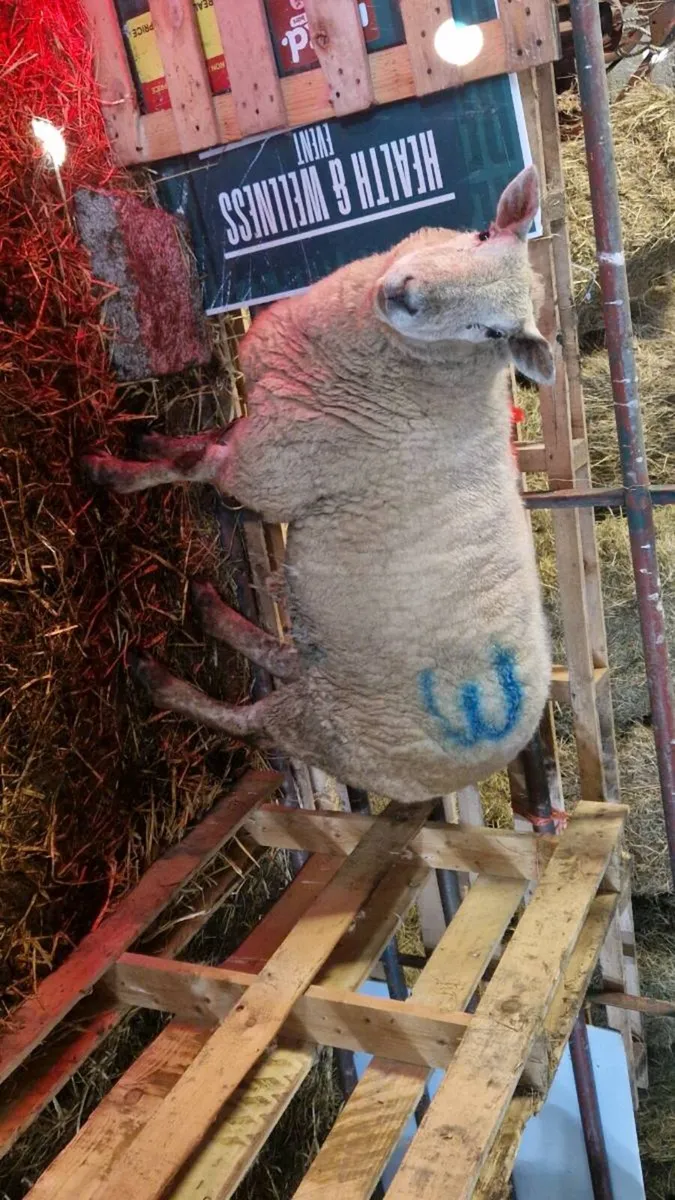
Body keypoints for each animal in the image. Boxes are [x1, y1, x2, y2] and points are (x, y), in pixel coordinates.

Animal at [84, 165, 553, 806]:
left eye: (492, 331)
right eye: (482, 234)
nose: (405, 295)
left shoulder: (275, 467)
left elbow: (195, 465)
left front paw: (110, 473)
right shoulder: (272, 417)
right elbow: (203, 440)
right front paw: (150, 441)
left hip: (333, 726)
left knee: (254, 724)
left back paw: (160, 681)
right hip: (332, 667)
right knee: (282, 655)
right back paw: (210, 610)